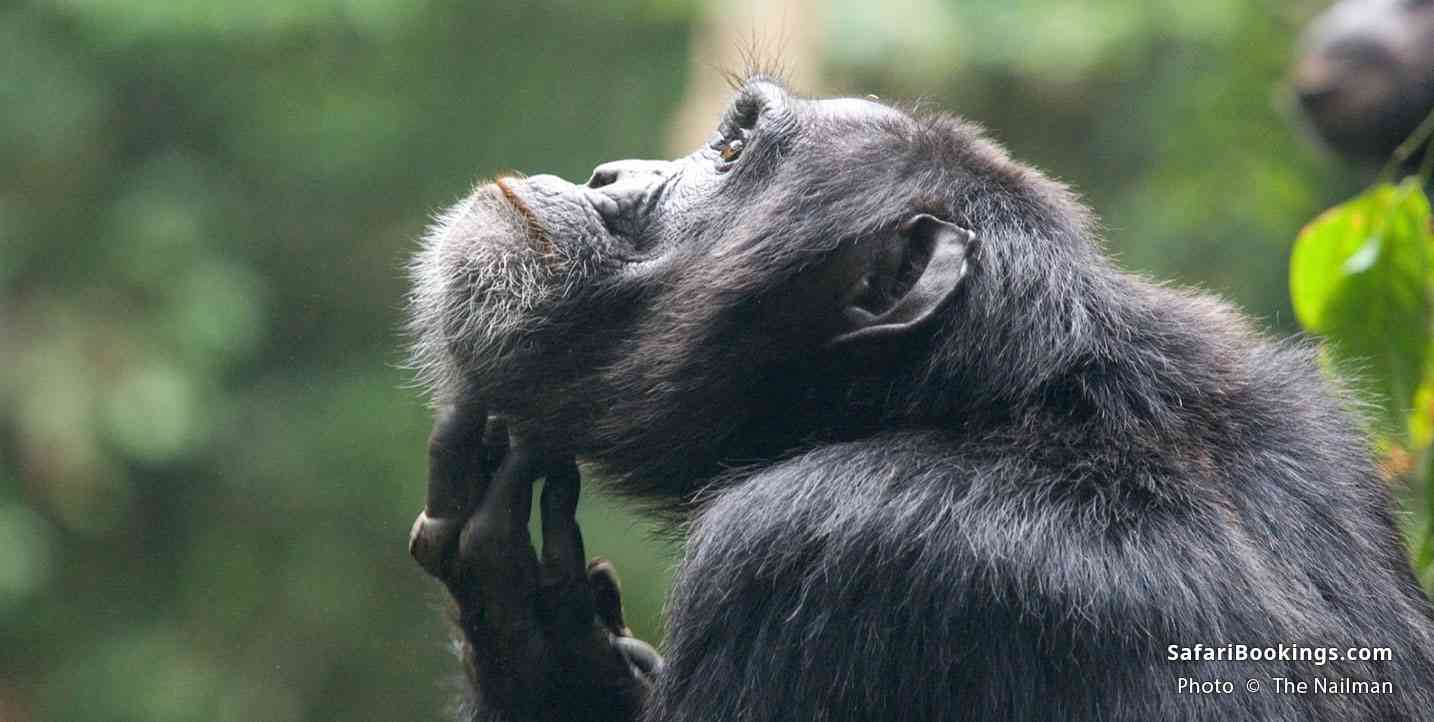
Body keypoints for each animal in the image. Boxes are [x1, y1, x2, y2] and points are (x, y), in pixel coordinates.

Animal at [406, 78, 1434, 721]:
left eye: (733, 147)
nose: (611, 175)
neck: (983, 403)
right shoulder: (1310, 427)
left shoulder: (809, 546)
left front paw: (533, 648)